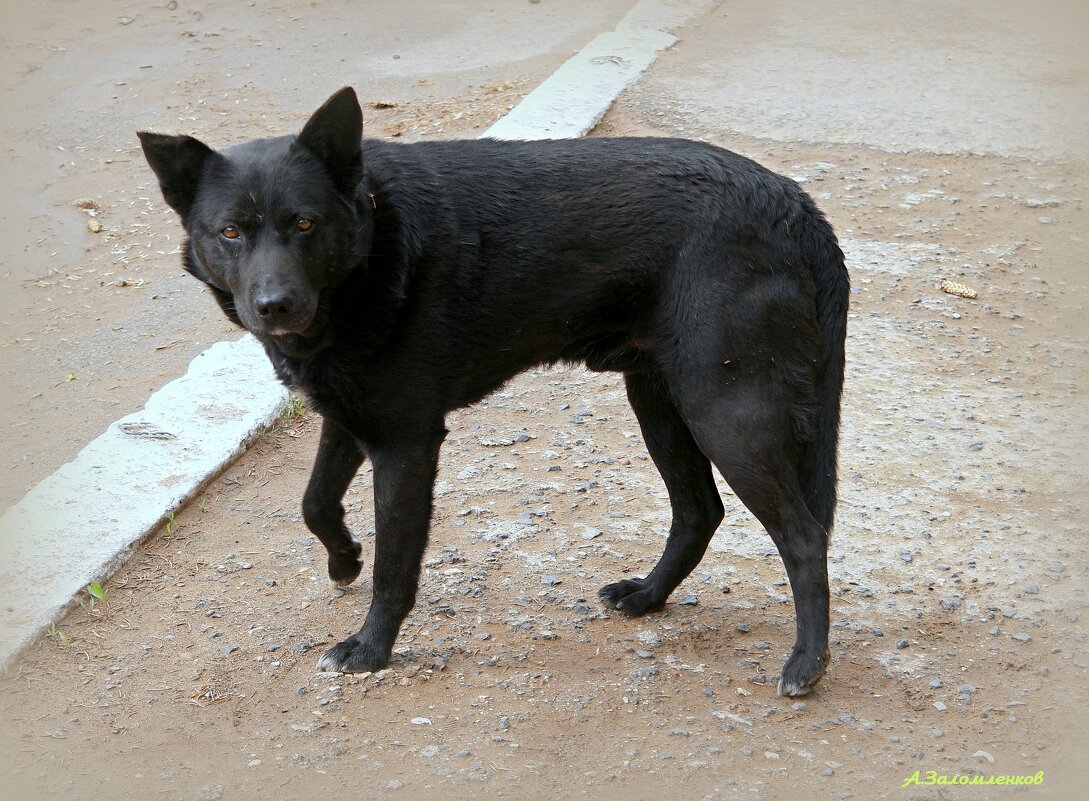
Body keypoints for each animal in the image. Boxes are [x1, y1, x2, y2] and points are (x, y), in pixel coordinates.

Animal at [138, 84, 849, 692]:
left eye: (305, 224)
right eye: (231, 231)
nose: (274, 306)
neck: (372, 244)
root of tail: (794, 203)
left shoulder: (405, 442)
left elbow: (395, 566)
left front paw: (371, 649)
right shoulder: (348, 414)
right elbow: (314, 502)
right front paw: (344, 559)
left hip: (724, 410)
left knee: (804, 536)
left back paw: (806, 664)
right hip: (661, 401)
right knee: (700, 511)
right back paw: (649, 597)